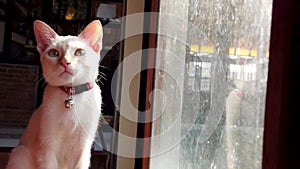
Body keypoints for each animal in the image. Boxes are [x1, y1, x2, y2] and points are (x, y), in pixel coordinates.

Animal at [4, 20, 102, 169]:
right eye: (54, 53)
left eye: (80, 52)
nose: (65, 62)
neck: (72, 94)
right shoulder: (48, 147)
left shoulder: (81, 149)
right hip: (20, 154)